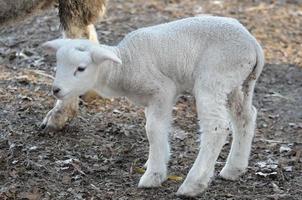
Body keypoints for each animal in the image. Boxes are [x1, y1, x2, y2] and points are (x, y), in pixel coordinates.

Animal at [42, 16, 264, 197]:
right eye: (58, 64)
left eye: (81, 69)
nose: (56, 90)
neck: (125, 64)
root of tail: (253, 44)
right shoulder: (152, 100)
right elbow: (156, 128)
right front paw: (158, 160)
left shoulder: (162, 90)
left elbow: (153, 129)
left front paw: (153, 175)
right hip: (234, 83)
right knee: (245, 116)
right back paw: (234, 169)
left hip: (214, 78)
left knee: (216, 127)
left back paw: (193, 183)